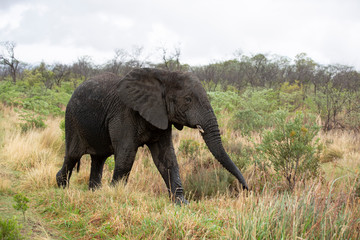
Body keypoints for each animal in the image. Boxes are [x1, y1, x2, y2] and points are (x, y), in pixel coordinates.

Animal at [55, 68, 248, 204]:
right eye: (188, 100)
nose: (246, 189)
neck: (164, 75)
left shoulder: (162, 116)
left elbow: (167, 158)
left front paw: (181, 204)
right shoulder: (124, 114)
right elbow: (126, 155)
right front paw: (115, 195)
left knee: (98, 159)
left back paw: (94, 192)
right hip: (71, 119)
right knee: (73, 155)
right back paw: (61, 186)